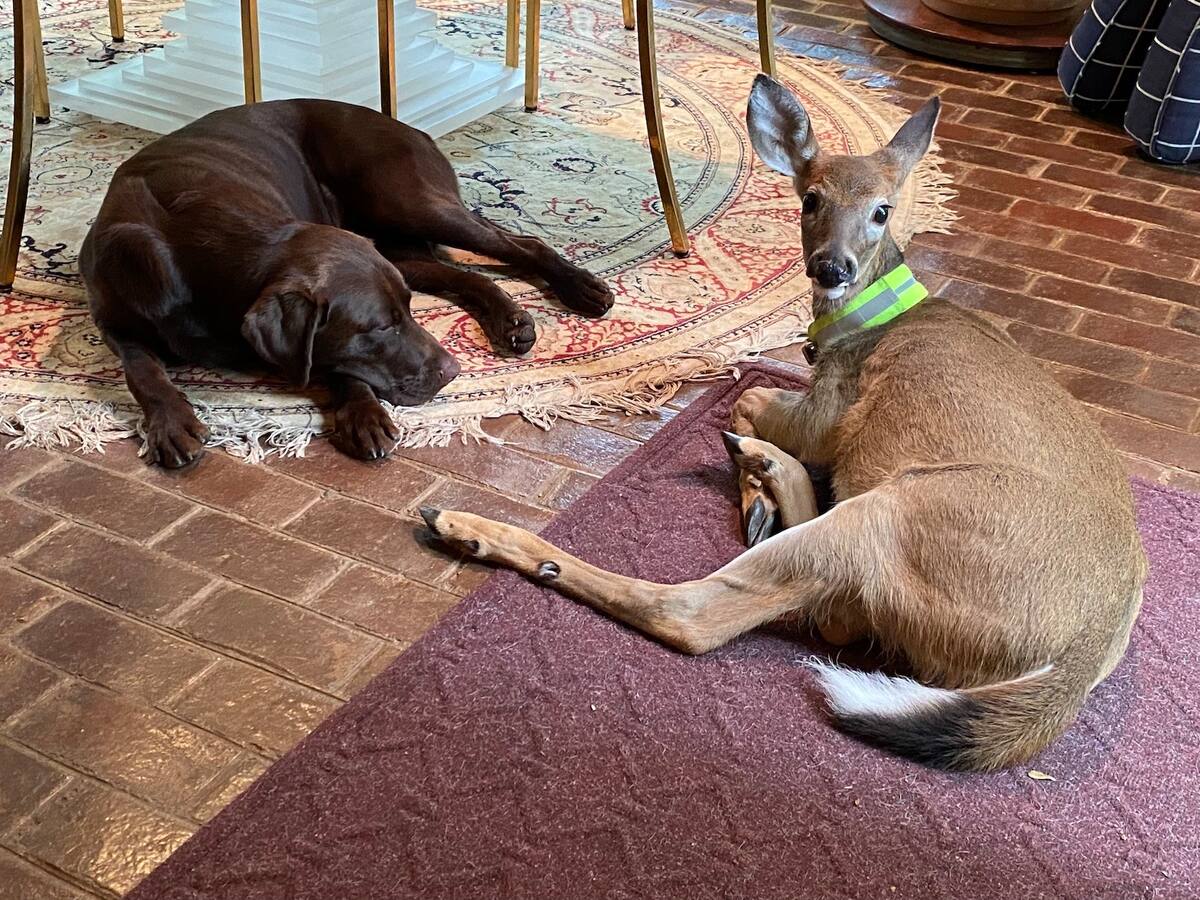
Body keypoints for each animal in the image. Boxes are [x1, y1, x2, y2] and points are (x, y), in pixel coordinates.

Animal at [79, 97, 614, 465]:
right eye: (379, 327)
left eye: (405, 315)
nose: (452, 371)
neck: (194, 245)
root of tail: (407, 124)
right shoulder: (114, 320)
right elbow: (142, 370)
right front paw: (170, 422)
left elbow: (335, 363)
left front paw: (362, 411)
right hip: (396, 245)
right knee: (461, 273)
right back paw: (511, 319)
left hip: (409, 201)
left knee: (521, 243)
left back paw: (581, 289)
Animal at [420, 79, 1142, 777]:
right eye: (810, 198)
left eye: (883, 210)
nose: (832, 267)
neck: (870, 314)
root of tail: (1075, 666)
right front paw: (756, 478)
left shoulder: (826, 416)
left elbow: (747, 396)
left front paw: (752, 463)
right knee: (835, 619)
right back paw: (759, 478)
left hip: (898, 513)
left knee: (704, 613)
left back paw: (473, 527)